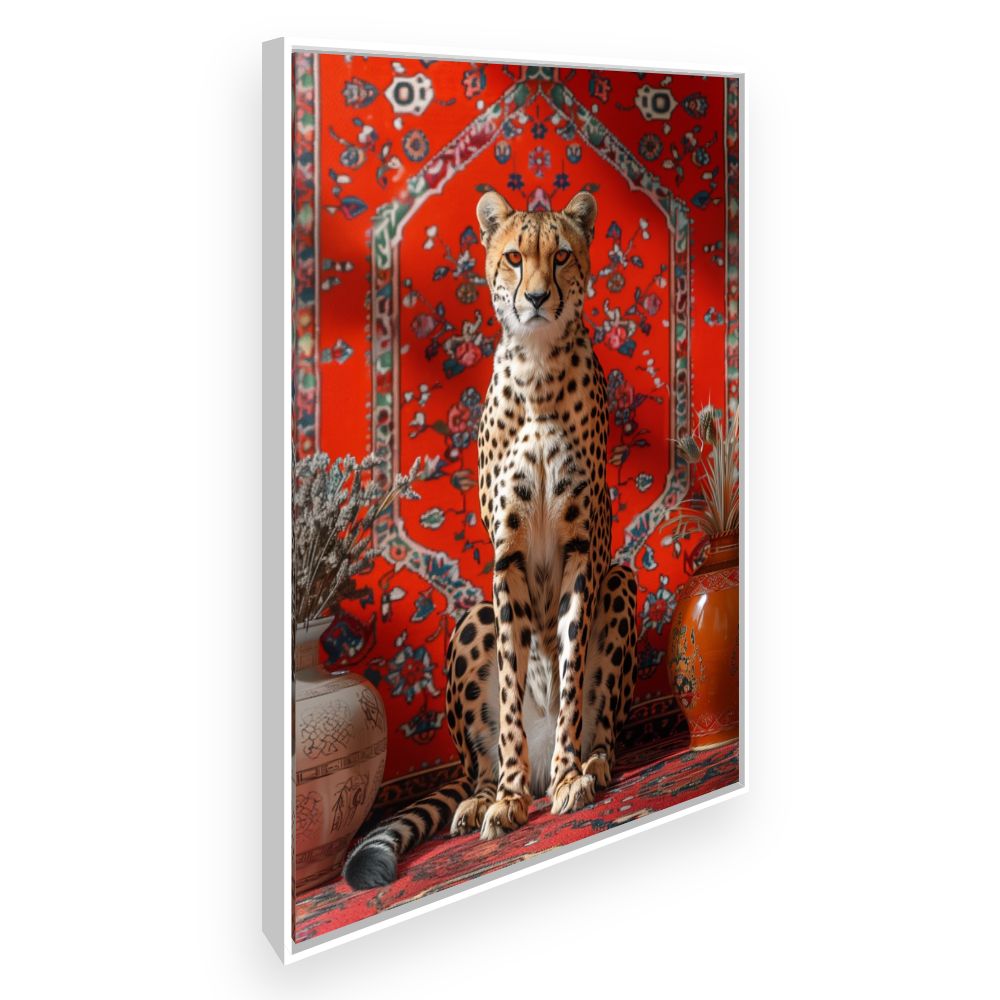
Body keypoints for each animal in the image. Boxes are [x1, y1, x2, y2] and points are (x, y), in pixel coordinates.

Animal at [343, 189, 638, 889]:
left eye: (560, 256)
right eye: (513, 257)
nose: (535, 297)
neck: (538, 370)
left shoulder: (584, 552)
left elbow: (568, 674)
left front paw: (568, 776)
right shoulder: (504, 561)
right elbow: (508, 687)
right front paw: (506, 799)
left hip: (620, 580)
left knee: (605, 727)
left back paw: (587, 767)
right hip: (468, 617)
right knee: (472, 763)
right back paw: (485, 794)